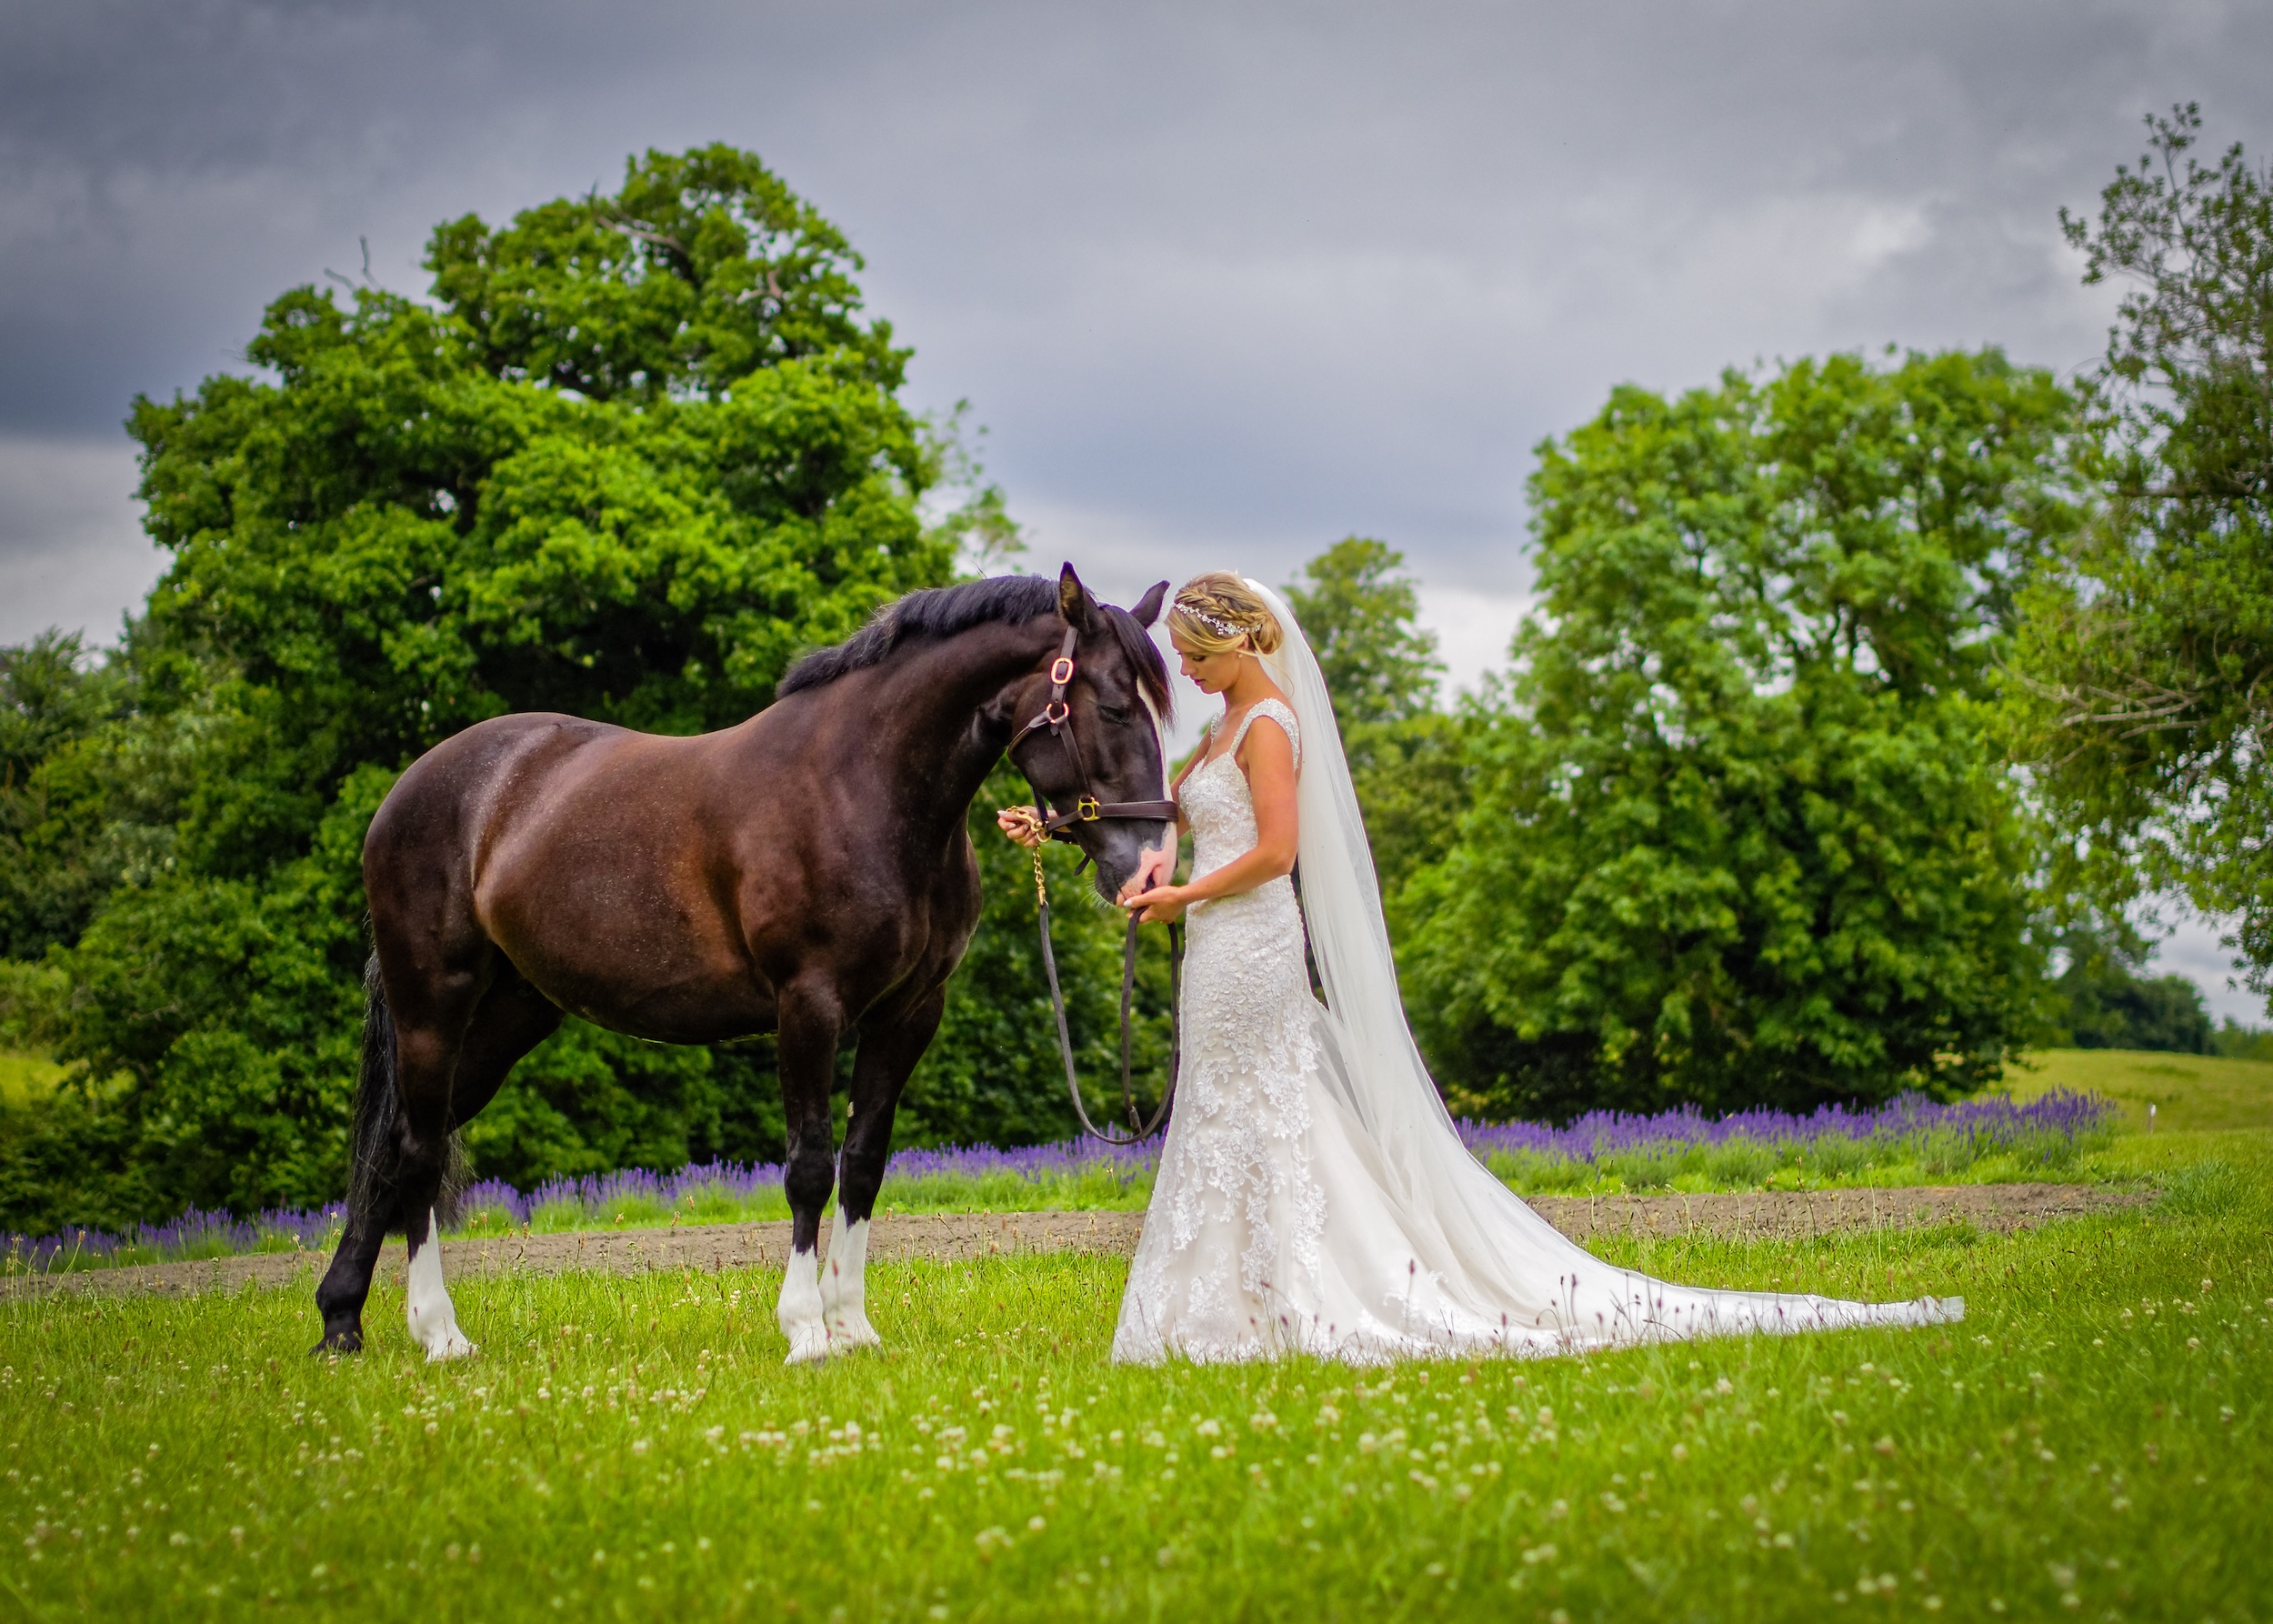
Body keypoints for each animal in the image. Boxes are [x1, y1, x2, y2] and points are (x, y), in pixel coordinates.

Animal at [313, 565, 1177, 1363]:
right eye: (1112, 707)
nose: (1152, 869)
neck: (861, 788)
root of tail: (415, 786)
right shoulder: (809, 1005)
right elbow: (809, 1166)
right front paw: (806, 1331)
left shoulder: (906, 1015)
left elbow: (863, 1165)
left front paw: (853, 1326)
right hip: (433, 1001)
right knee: (418, 1154)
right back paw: (438, 1333)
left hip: (508, 1017)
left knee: (393, 1149)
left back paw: (341, 1323)